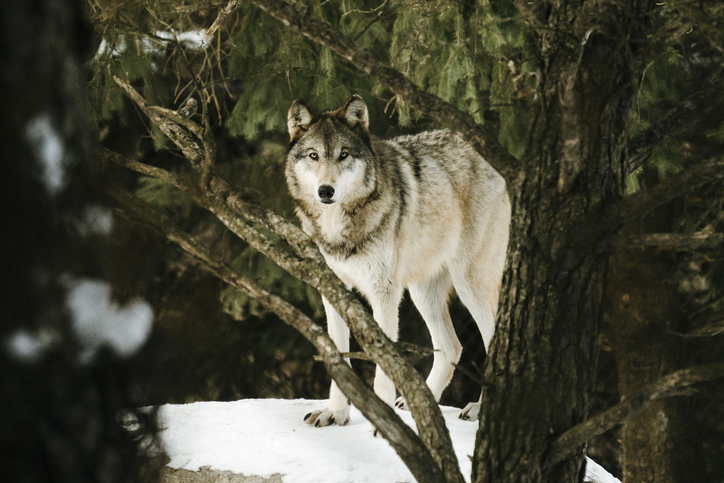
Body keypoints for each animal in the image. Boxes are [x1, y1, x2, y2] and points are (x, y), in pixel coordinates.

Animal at [285, 95, 510, 427]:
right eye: (314, 156)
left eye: (343, 154)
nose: (326, 191)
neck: (341, 227)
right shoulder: (333, 288)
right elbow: (339, 355)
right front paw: (336, 413)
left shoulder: (385, 292)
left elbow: (384, 364)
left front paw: (382, 422)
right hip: (422, 292)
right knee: (452, 346)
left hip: (470, 284)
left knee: (493, 342)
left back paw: (481, 409)